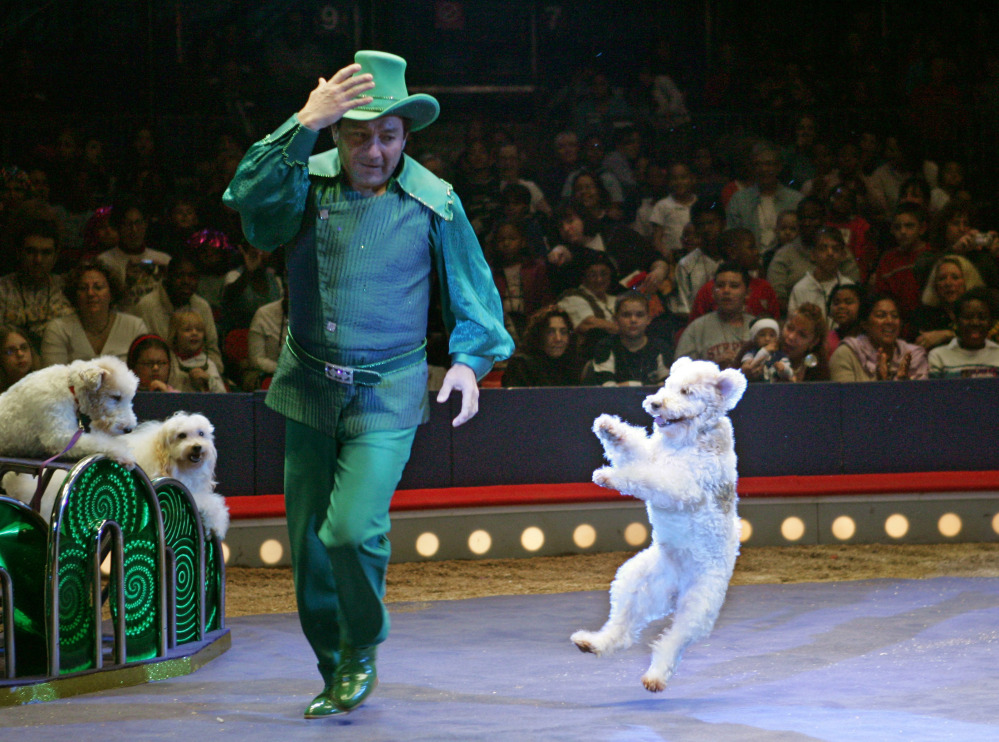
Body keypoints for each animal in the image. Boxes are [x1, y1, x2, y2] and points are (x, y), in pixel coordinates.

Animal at [0, 358, 139, 468]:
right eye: (116, 397)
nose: (129, 429)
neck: (71, 388)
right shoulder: (60, 436)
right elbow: (99, 441)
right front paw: (125, 455)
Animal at [576, 358, 748, 696]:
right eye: (667, 385)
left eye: (686, 391)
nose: (655, 403)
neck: (689, 437)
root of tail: (675, 587)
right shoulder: (653, 455)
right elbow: (634, 451)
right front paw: (610, 428)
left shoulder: (681, 484)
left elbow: (642, 475)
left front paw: (610, 476)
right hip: (635, 582)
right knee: (622, 629)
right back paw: (594, 642)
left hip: (697, 606)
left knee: (672, 641)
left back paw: (655, 676)